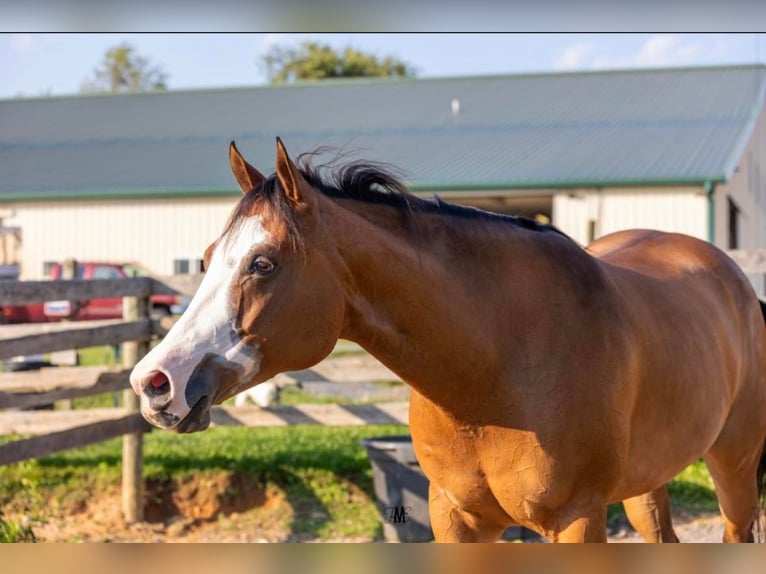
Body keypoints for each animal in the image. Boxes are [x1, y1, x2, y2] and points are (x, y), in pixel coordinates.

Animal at [132, 140, 766, 544]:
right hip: (647, 485)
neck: (500, 367)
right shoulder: (456, 518)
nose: (154, 383)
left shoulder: (579, 521)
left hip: (733, 468)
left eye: (262, 263)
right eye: (207, 258)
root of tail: (731, 276)